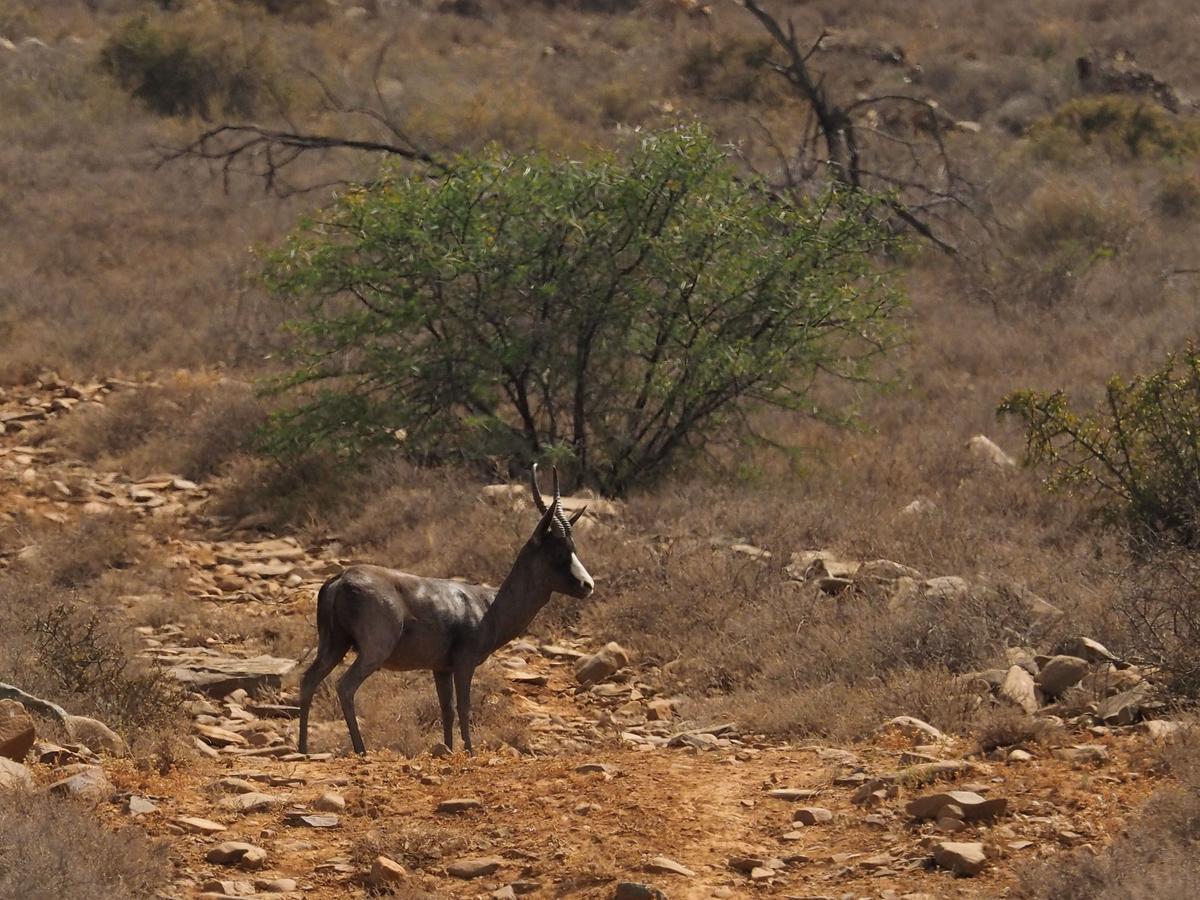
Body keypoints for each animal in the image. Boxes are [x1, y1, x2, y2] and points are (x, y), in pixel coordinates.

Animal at [297, 468, 592, 758]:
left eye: (574, 548)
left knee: (308, 680)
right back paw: (360, 750)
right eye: (559, 551)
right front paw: (470, 752)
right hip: (372, 652)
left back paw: (302, 749)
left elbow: (446, 708)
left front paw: (448, 749)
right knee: (345, 686)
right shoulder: (464, 664)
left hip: (333, 646)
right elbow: (464, 706)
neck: (487, 605)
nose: (587, 585)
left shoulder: (440, 669)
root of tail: (341, 578)